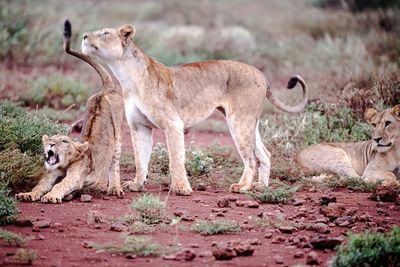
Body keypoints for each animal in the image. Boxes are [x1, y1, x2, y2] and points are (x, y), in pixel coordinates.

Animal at [15, 21, 124, 204]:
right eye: (50, 139)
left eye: (64, 141)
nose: (51, 145)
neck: (64, 164)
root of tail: (106, 88)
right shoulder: (50, 174)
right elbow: (40, 185)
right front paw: (27, 194)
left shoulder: (76, 176)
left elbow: (61, 185)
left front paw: (51, 196)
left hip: (118, 137)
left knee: (114, 164)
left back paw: (114, 188)